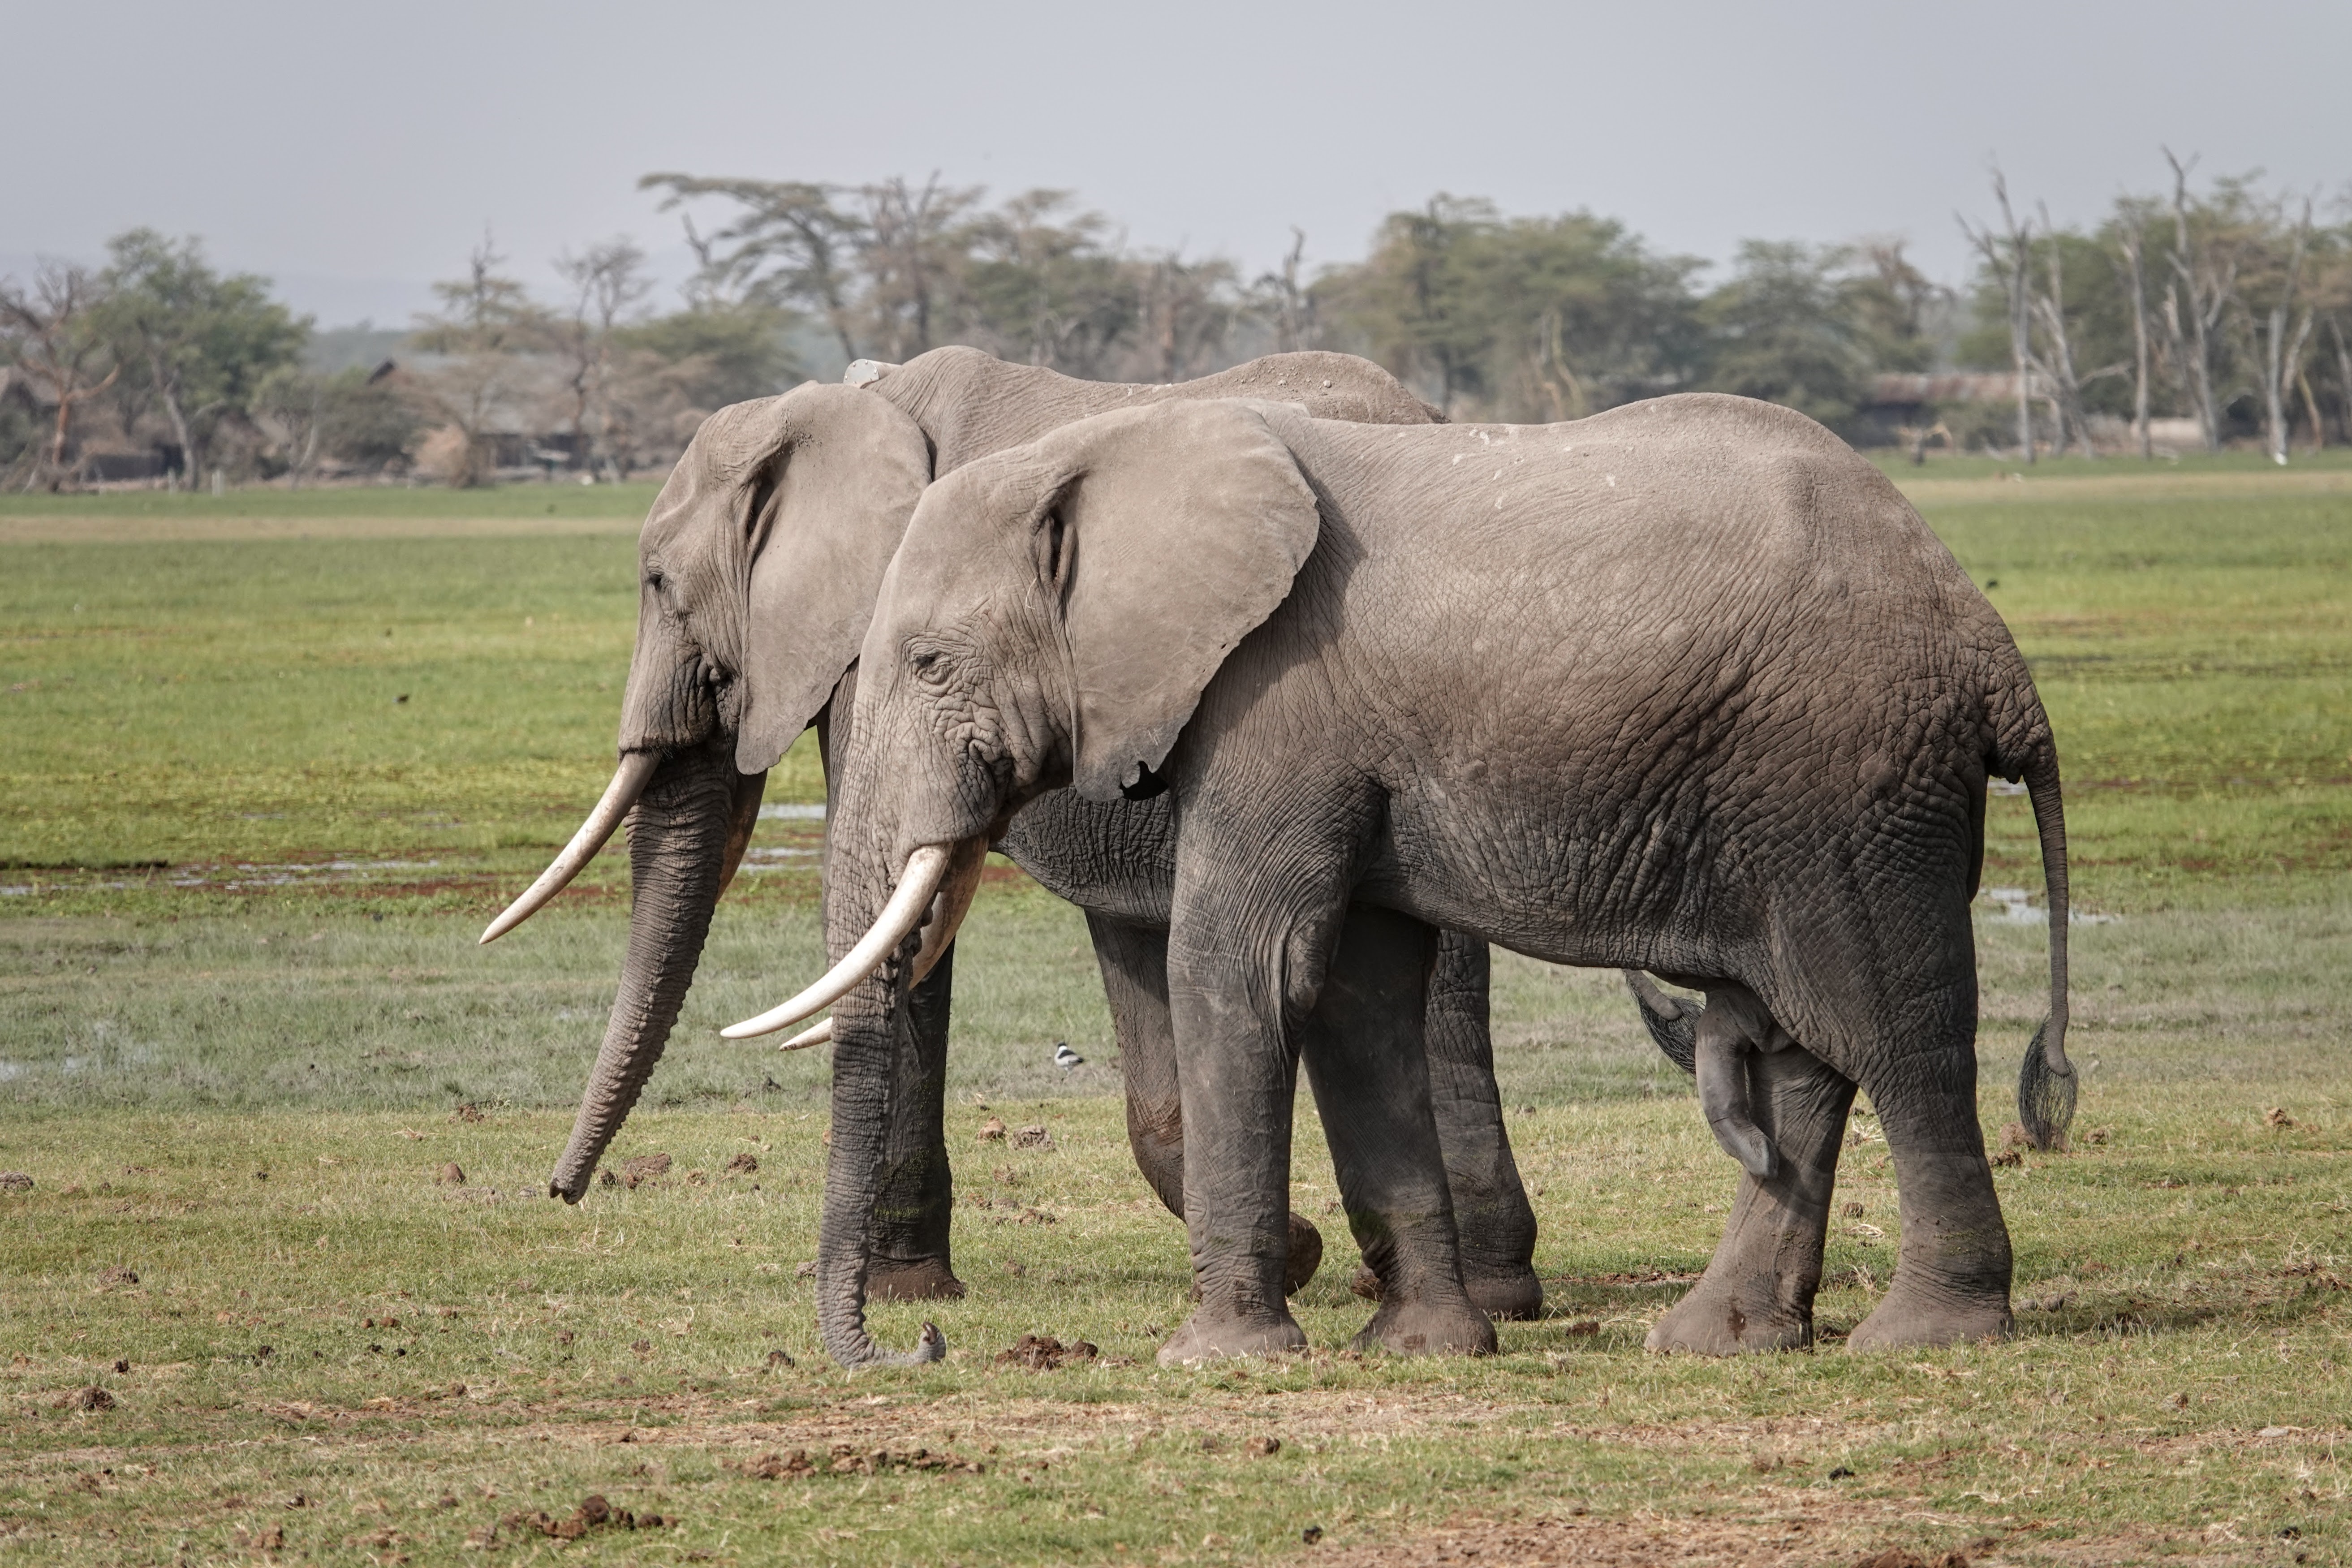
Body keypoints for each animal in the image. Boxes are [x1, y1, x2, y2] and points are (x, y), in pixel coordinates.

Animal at [482, 343, 1581, 1316]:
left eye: (657, 584)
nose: (560, 1192)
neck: (846, 405)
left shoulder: (887, 652)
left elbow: (907, 917)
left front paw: (907, 1289)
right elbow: (1122, 950)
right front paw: (1298, 1250)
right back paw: (1491, 1289)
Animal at [734, 392, 2079, 1373]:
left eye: (927, 661)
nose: (920, 1343)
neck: (1105, 451)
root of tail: (1993, 650)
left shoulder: (1278, 701)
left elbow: (1244, 967)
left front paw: (1217, 1361)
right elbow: (1356, 999)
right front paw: (1421, 1347)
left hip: (1853, 782)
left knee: (1889, 1031)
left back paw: (1924, 1335)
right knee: (1804, 1047)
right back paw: (1718, 1341)